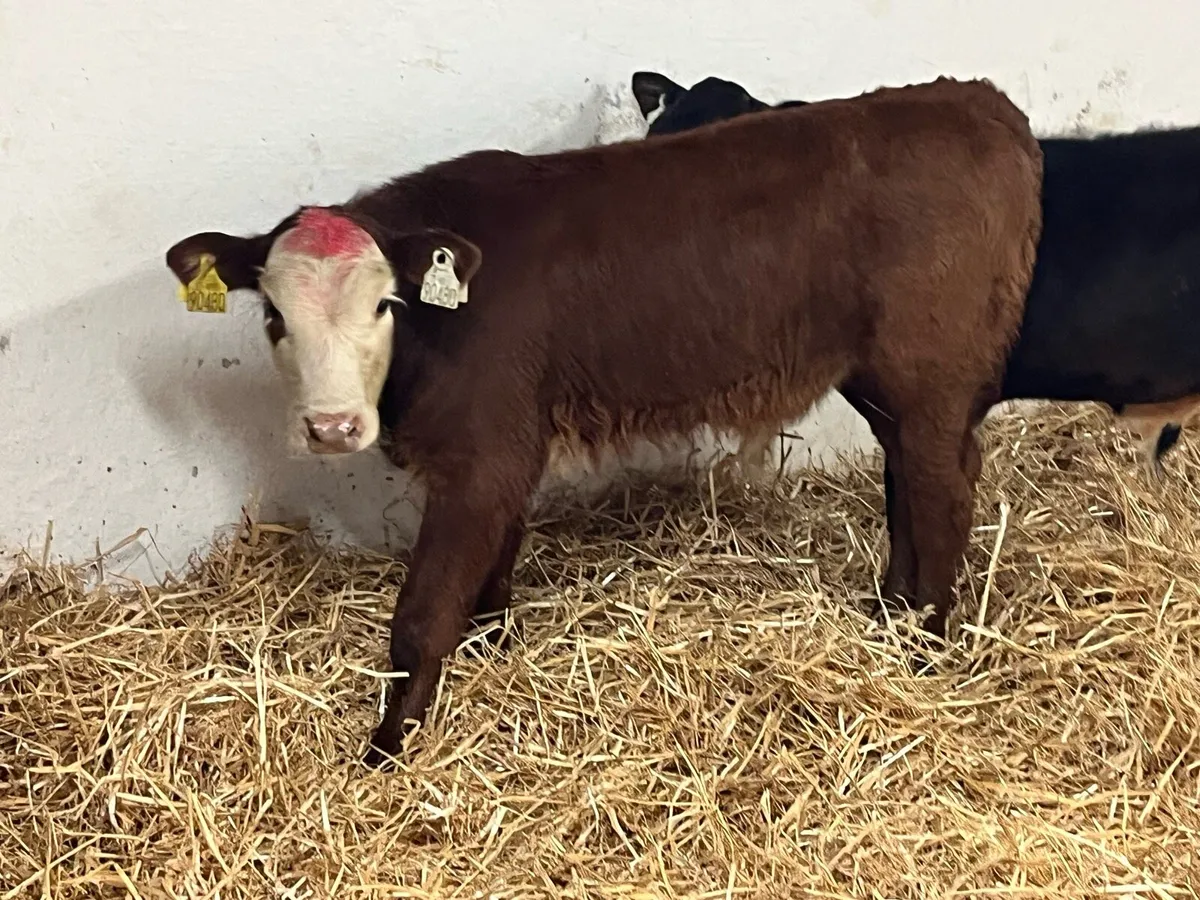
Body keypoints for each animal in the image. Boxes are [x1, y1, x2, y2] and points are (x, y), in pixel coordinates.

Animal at [165, 76, 1043, 765]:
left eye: (385, 303)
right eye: (273, 315)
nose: (333, 428)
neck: (441, 325)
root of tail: (975, 100)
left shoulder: (484, 451)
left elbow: (422, 615)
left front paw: (387, 748)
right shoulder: (507, 452)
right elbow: (491, 575)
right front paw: (492, 650)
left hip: (930, 368)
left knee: (943, 489)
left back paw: (926, 644)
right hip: (885, 377)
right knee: (910, 482)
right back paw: (892, 615)